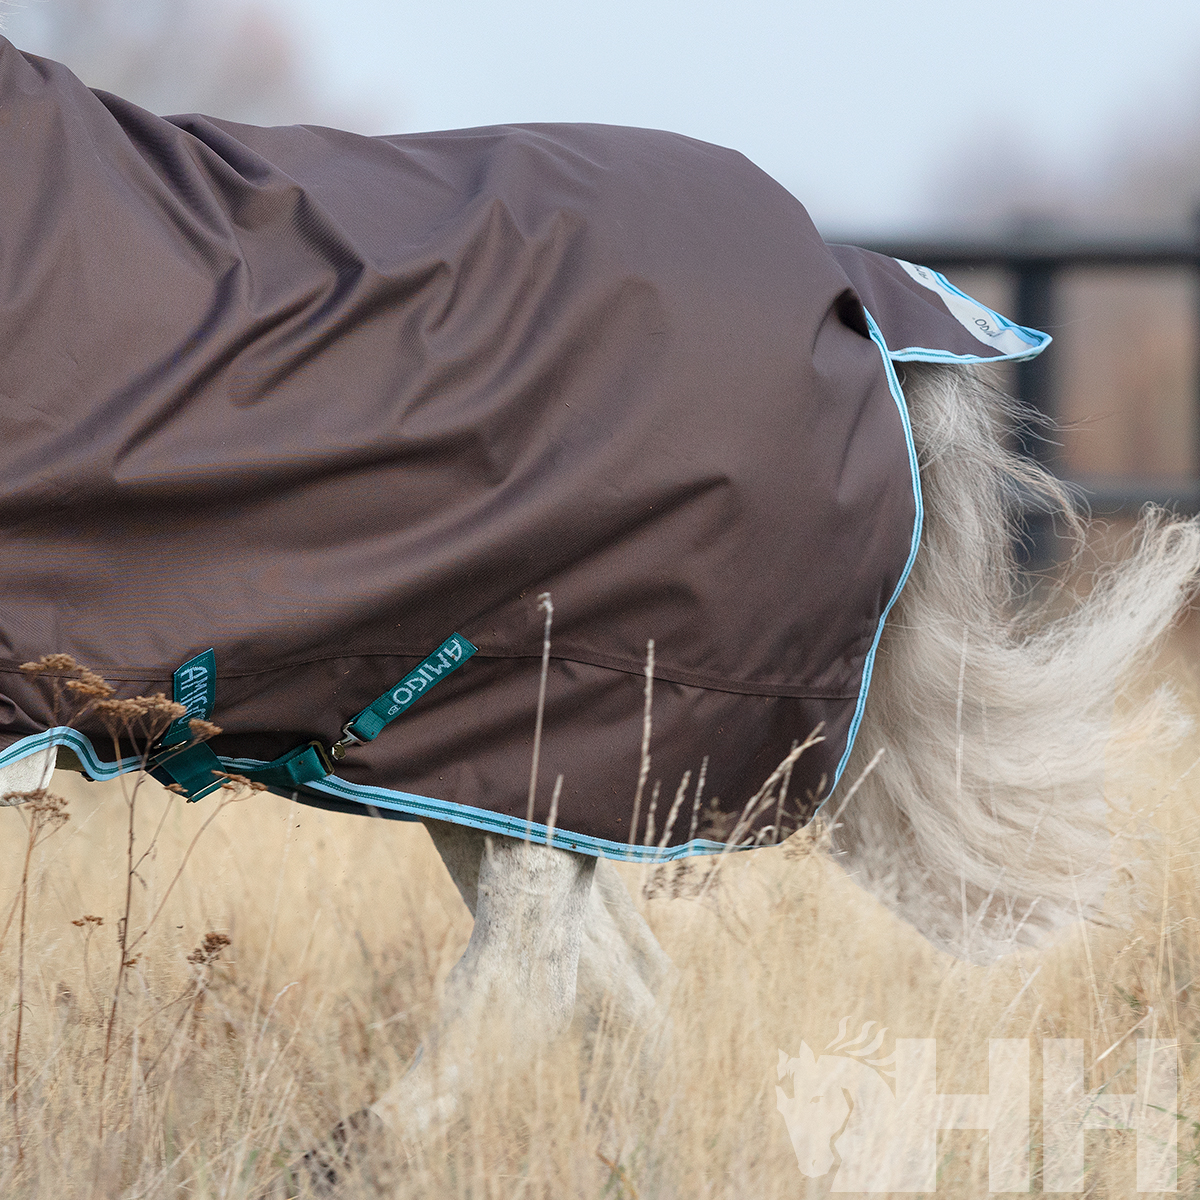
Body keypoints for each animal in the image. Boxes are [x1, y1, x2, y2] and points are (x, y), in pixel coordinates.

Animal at [1, 34, 1198, 1195]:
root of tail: (851, 283)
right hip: (491, 767)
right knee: (621, 992)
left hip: (542, 727)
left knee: (534, 983)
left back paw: (340, 1161)